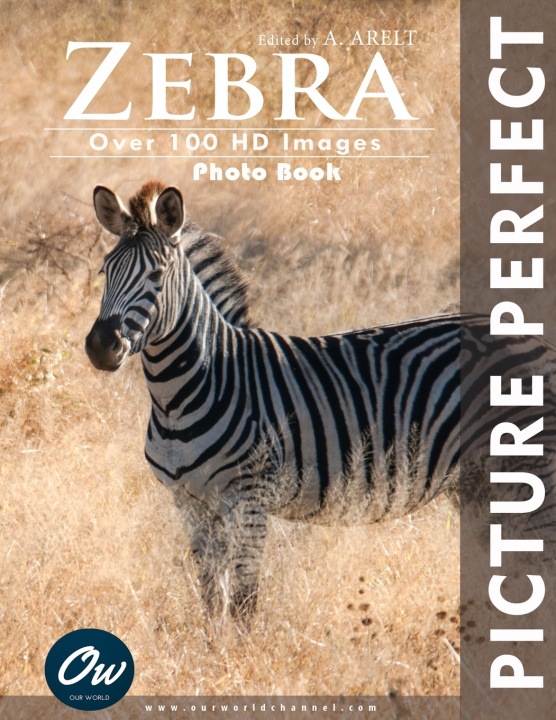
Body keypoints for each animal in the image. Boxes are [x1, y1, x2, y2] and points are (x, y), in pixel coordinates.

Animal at [85, 181, 556, 616]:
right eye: (105, 271)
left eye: (157, 275)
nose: (100, 346)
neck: (183, 394)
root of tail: (536, 337)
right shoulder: (190, 503)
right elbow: (211, 599)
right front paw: (213, 651)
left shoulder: (249, 499)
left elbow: (242, 602)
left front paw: (242, 655)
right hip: (478, 483)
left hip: (530, 474)